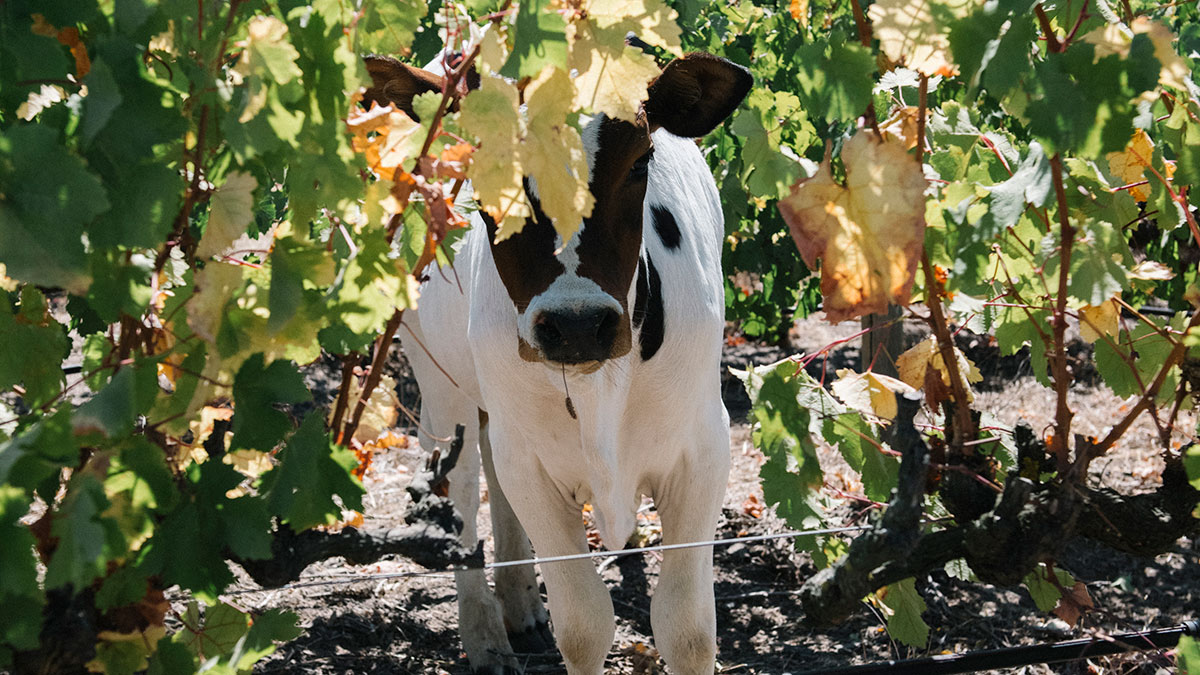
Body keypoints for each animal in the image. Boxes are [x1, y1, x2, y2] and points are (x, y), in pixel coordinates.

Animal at [364, 48, 751, 674]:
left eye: (640, 162)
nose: (576, 325)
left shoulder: (704, 447)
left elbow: (688, 630)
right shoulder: (531, 462)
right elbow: (585, 627)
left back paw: (521, 607)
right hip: (440, 381)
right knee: (463, 482)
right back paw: (486, 637)